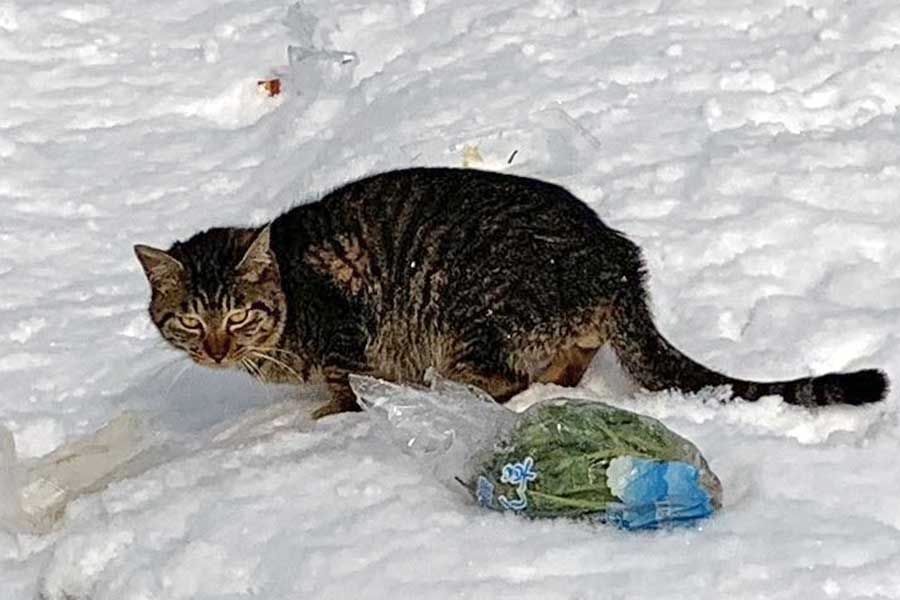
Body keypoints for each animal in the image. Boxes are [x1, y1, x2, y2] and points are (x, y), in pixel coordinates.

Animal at [137, 166, 888, 414]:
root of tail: (617, 258)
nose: (213, 350)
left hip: (466, 311)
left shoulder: (349, 330)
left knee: (505, 380)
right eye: (190, 321)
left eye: (238, 315)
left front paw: (336, 411)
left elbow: (345, 383)